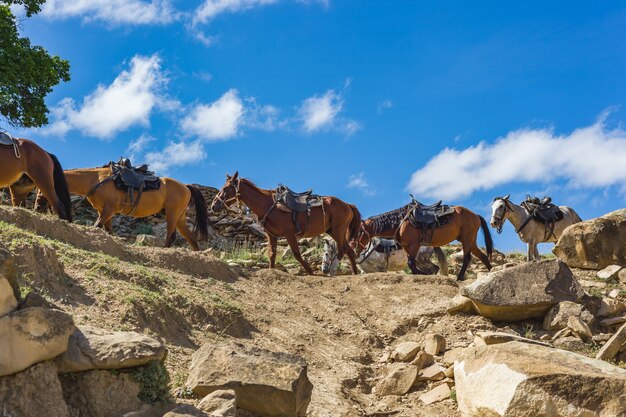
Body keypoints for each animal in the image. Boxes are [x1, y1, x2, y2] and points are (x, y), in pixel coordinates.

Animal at [36, 166, 207, 250]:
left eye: (43, 187)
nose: (37, 207)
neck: (96, 180)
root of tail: (185, 186)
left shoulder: (108, 210)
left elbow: (97, 226)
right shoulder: (105, 212)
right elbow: (108, 231)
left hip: (171, 214)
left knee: (171, 236)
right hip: (179, 217)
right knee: (191, 238)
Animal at [210, 171, 358, 274]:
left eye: (226, 189)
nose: (213, 206)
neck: (268, 204)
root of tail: (348, 205)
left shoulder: (289, 234)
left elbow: (297, 254)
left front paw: (310, 271)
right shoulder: (271, 235)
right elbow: (272, 254)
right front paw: (271, 271)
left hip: (338, 231)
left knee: (343, 249)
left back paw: (332, 270)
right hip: (334, 232)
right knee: (349, 251)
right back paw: (354, 273)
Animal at [352, 202, 492, 280]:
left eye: (358, 232)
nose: (355, 249)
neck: (400, 222)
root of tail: (475, 215)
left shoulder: (414, 245)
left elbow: (411, 264)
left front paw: (422, 274)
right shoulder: (407, 247)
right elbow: (411, 264)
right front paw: (421, 274)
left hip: (466, 239)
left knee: (467, 257)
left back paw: (460, 277)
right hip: (470, 240)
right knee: (483, 256)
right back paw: (491, 271)